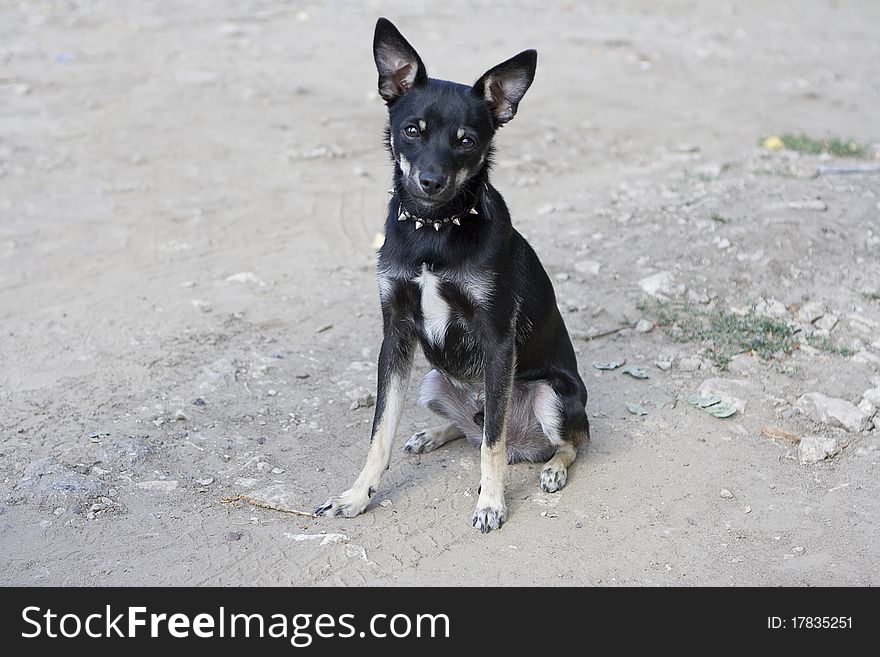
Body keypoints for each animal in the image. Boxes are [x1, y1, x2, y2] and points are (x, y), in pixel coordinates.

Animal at [316, 18, 592, 532]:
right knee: (471, 428)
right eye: (412, 130)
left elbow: (492, 444)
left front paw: (491, 504)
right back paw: (434, 433)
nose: (430, 182)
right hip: (432, 380)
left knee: (566, 440)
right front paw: (357, 496)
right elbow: (380, 432)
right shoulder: (396, 333)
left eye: (466, 139)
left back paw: (553, 468)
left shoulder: (497, 339)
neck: (435, 229)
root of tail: (528, 445)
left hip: (552, 395)